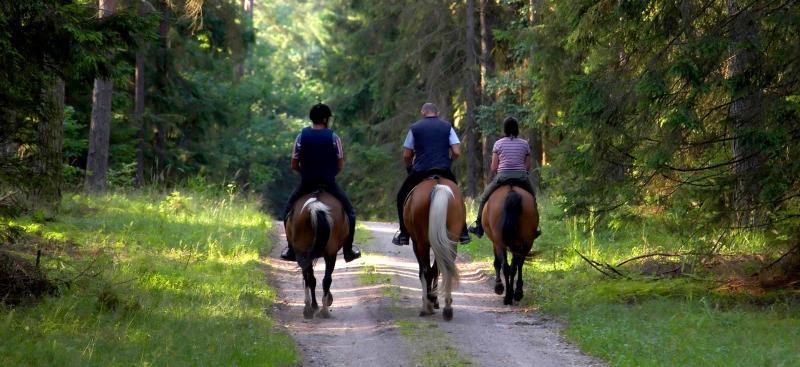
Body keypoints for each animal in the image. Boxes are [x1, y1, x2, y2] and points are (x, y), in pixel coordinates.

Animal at [288, 191, 350, 320]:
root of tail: (315, 206)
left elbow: (308, 277)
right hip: (330, 254)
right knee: (326, 279)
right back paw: (324, 310)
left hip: (303, 252)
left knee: (310, 278)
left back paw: (310, 308)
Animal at [404, 177, 466, 320]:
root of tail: (438, 185)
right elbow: (436, 270)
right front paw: (434, 299)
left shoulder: (417, 243)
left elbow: (425, 271)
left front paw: (430, 300)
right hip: (450, 241)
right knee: (446, 268)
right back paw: (447, 308)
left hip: (422, 244)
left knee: (426, 271)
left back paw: (427, 306)